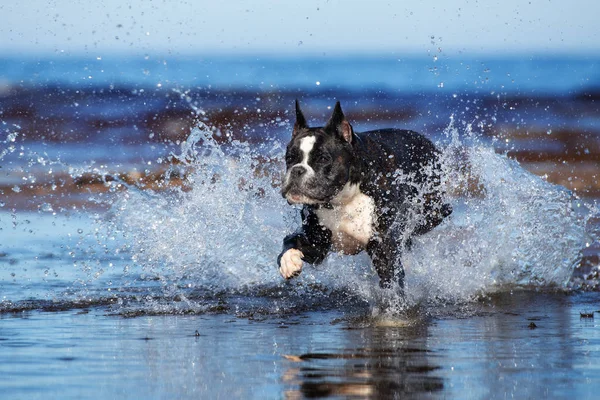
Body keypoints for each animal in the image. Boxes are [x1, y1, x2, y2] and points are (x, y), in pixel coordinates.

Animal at [276, 100, 450, 288]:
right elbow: (290, 241)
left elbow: (392, 282)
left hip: (433, 211)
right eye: (289, 158)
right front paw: (288, 262)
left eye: (323, 159)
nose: (297, 170)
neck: (342, 200)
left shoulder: (383, 248)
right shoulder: (317, 244)